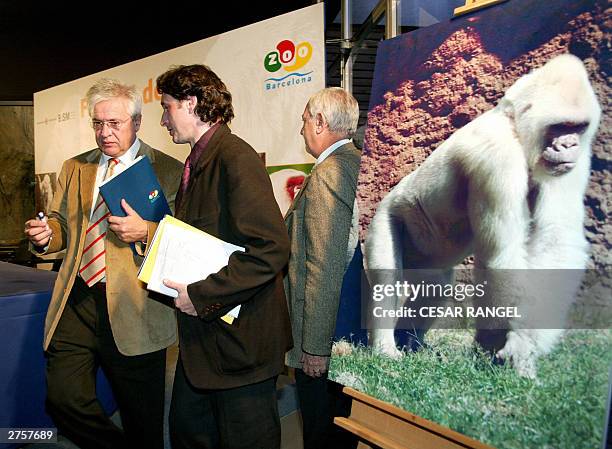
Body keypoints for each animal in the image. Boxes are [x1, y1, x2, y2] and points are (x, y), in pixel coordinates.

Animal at [366, 54, 600, 376]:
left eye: (578, 127)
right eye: (559, 126)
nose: (569, 145)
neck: (514, 123)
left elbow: (556, 237)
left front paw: (501, 346)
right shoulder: (498, 157)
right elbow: (501, 255)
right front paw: (515, 347)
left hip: (428, 263)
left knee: (435, 288)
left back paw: (412, 343)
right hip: (385, 215)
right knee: (385, 279)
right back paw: (385, 348)